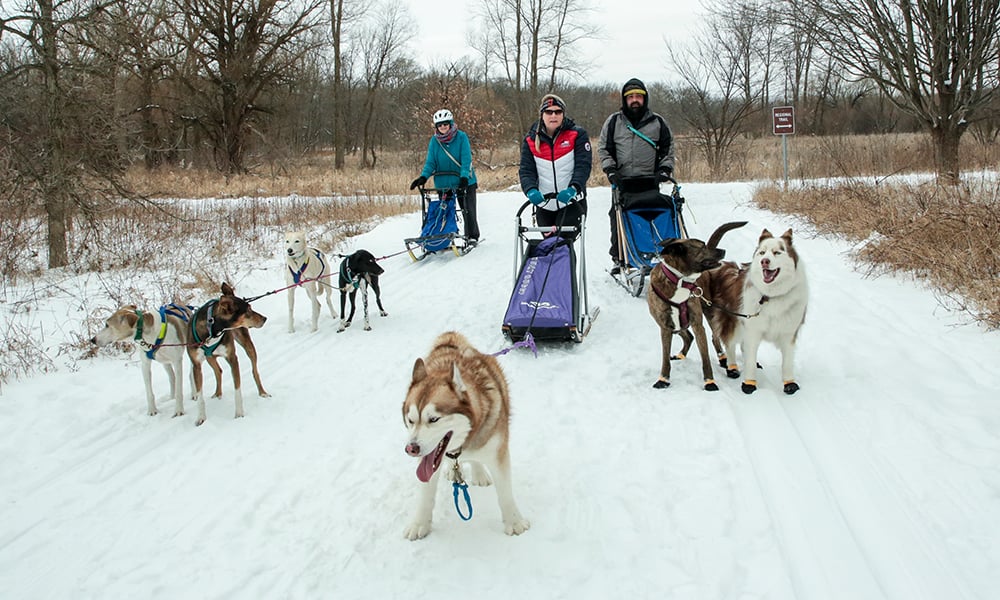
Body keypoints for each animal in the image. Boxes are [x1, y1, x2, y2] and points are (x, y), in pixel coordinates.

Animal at [188, 282, 270, 426]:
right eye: (248, 310)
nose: (264, 318)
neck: (212, 330)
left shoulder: (232, 358)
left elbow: (237, 390)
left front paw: (239, 414)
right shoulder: (196, 365)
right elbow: (199, 396)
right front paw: (201, 418)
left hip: (248, 346)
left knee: (254, 371)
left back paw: (262, 392)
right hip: (210, 358)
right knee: (218, 371)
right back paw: (217, 393)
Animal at [400, 330, 532, 540]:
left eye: (434, 419)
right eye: (411, 420)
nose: (411, 449)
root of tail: (449, 338)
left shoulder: (498, 452)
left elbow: (505, 492)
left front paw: (514, 522)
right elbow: (426, 495)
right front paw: (419, 523)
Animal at [644, 220, 748, 390]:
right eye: (702, 246)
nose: (723, 250)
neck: (680, 281)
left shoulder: (697, 324)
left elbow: (705, 358)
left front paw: (709, 381)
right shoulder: (665, 327)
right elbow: (665, 358)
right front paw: (663, 379)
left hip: (709, 312)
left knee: (714, 337)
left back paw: (723, 360)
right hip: (675, 326)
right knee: (688, 336)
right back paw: (681, 354)